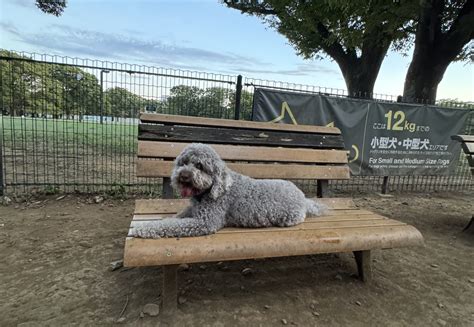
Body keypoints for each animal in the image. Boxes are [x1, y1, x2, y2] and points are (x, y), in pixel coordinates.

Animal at [131, 143, 328, 238]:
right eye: (183, 163)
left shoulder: (205, 222)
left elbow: (168, 226)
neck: (209, 192)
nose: (184, 176)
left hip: (289, 218)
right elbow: (172, 220)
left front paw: (140, 228)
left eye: (200, 166)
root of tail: (303, 197)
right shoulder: (192, 211)